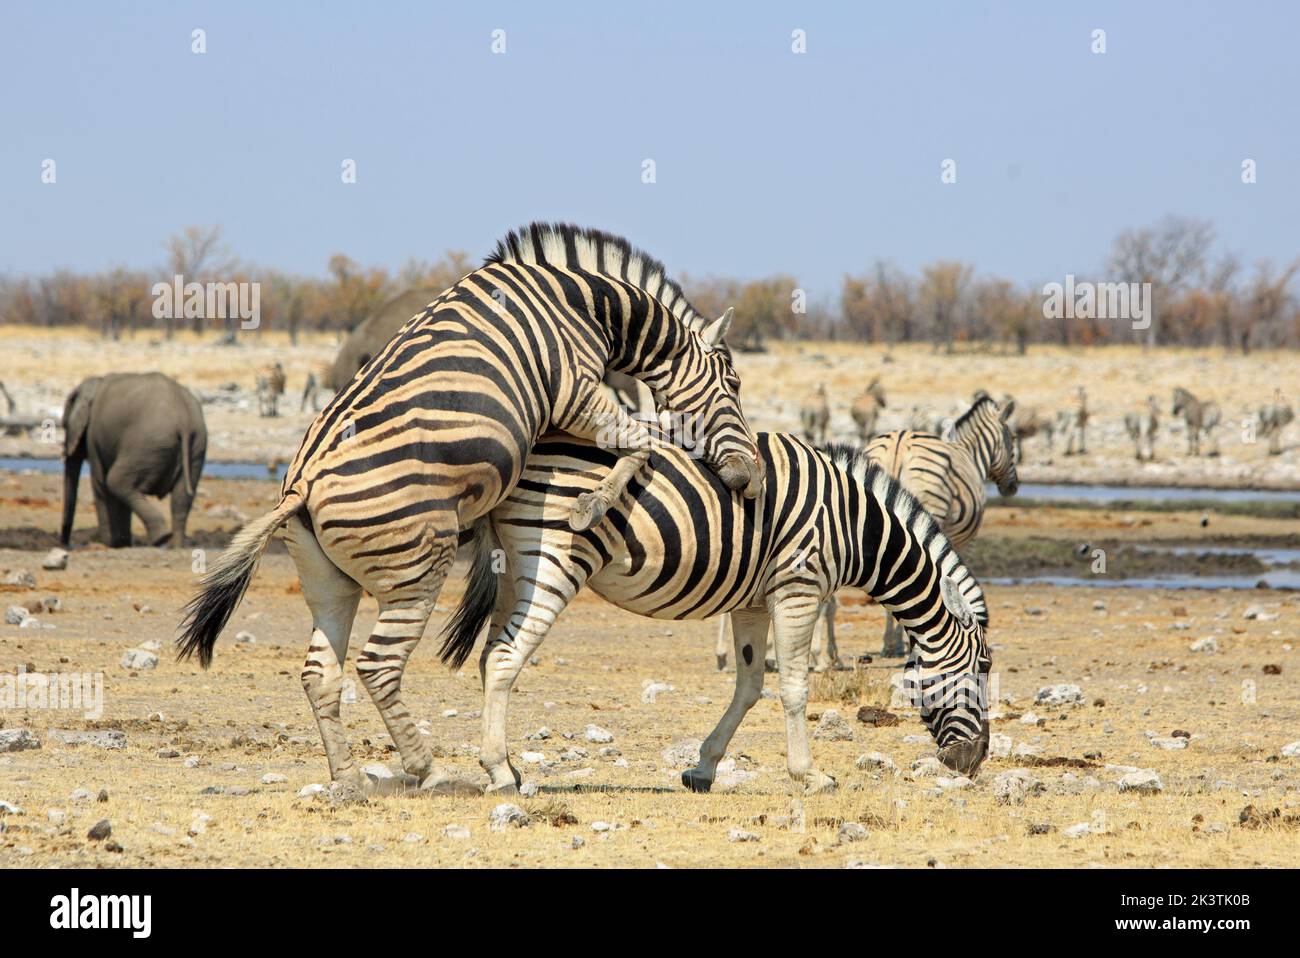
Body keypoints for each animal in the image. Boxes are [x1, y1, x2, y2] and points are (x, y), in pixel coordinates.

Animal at [61, 374, 208, 553]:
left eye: (64, 426)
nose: (65, 544)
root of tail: (184, 420)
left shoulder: (93, 438)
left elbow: (101, 487)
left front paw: (109, 544)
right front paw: (122, 544)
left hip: (147, 445)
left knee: (115, 482)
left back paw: (161, 537)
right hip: (196, 444)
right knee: (181, 498)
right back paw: (175, 546)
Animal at [172, 222, 759, 790]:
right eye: (733, 383)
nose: (749, 480)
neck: (585, 304)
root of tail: (302, 487)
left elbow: (639, 445)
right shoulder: (576, 391)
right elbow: (645, 444)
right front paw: (590, 506)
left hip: (328, 583)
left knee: (321, 672)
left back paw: (348, 779)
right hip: (417, 567)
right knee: (379, 666)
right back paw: (431, 771)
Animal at [441, 428, 987, 795]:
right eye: (983, 667)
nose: (974, 761)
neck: (855, 526)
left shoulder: (752, 602)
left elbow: (750, 686)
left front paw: (703, 767)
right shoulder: (798, 587)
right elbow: (794, 687)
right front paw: (809, 774)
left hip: (512, 570)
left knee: (489, 656)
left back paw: (507, 766)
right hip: (553, 561)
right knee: (505, 658)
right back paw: (499, 772)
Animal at [868, 392, 1019, 655]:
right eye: (1013, 438)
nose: (1014, 486)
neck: (971, 455)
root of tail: (899, 444)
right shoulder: (965, 541)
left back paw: (891, 644)